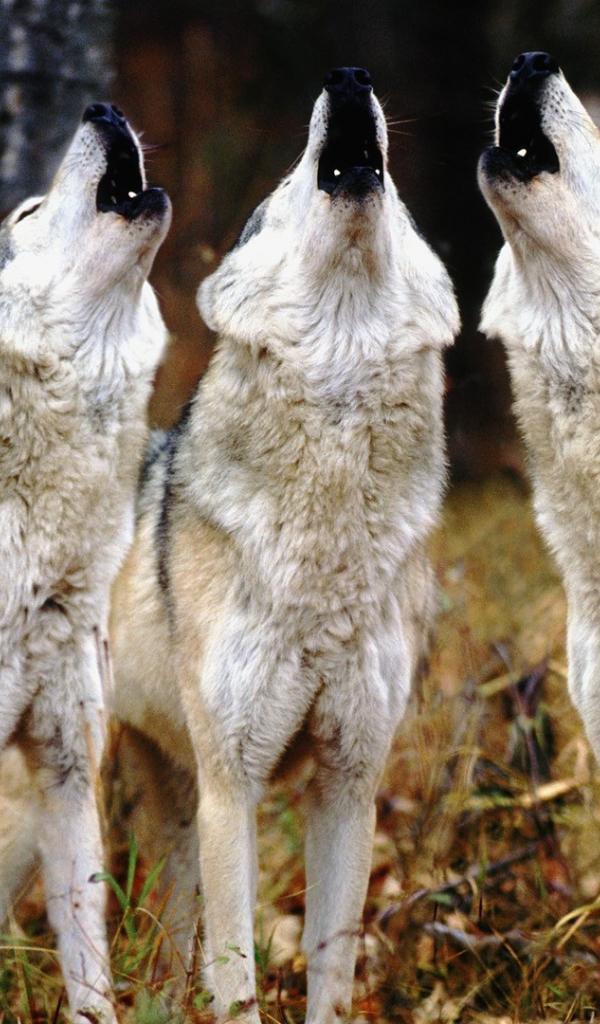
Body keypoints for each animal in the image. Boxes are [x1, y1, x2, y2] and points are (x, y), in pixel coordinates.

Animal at [110, 66, 459, 1023]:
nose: (350, 77)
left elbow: (330, 975)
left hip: (170, 807)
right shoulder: (235, 788)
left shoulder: (349, 784)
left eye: (402, 201)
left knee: (161, 953)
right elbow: (236, 981)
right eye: (289, 184)